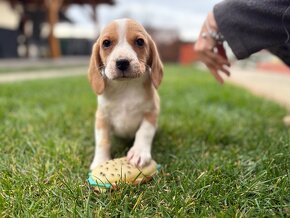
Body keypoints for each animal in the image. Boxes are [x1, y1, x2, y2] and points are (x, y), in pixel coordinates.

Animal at [88, 18, 163, 169]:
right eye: (106, 43)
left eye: (140, 41)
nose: (122, 62)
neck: (125, 87)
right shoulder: (102, 117)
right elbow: (103, 140)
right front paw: (100, 161)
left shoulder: (151, 113)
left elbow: (144, 132)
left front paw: (139, 152)